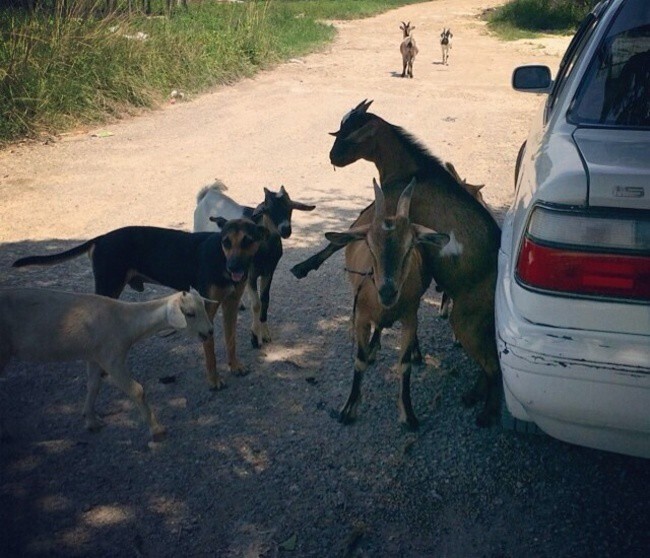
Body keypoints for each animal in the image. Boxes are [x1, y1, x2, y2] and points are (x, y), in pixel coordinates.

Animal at [13, 221, 266, 392]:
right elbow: (210, 352)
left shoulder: (231, 305)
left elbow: (231, 340)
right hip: (108, 286)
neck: (220, 258)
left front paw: (235, 366)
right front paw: (213, 380)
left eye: (247, 240)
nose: (234, 266)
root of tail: (100, 238)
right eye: (226, 242)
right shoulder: (206, 314)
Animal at [192, 182, 314, 348]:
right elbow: (256, 304)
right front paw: (255, 337)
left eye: (290, 208)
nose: (286, 230)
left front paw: (266, 333)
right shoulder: (251, 274)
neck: (264, 248)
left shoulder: (269, 271)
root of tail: (207, 194)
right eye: (268, 209)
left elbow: (265, 300)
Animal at [324, 179, 446, 434]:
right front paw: (348, 409)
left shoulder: (410, 317)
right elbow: (359, 360)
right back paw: (373, 346)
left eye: (410, 247)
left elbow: (405, 364)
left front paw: (408, 414)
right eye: (370, 246)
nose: (388, 291)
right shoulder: (360, 317)